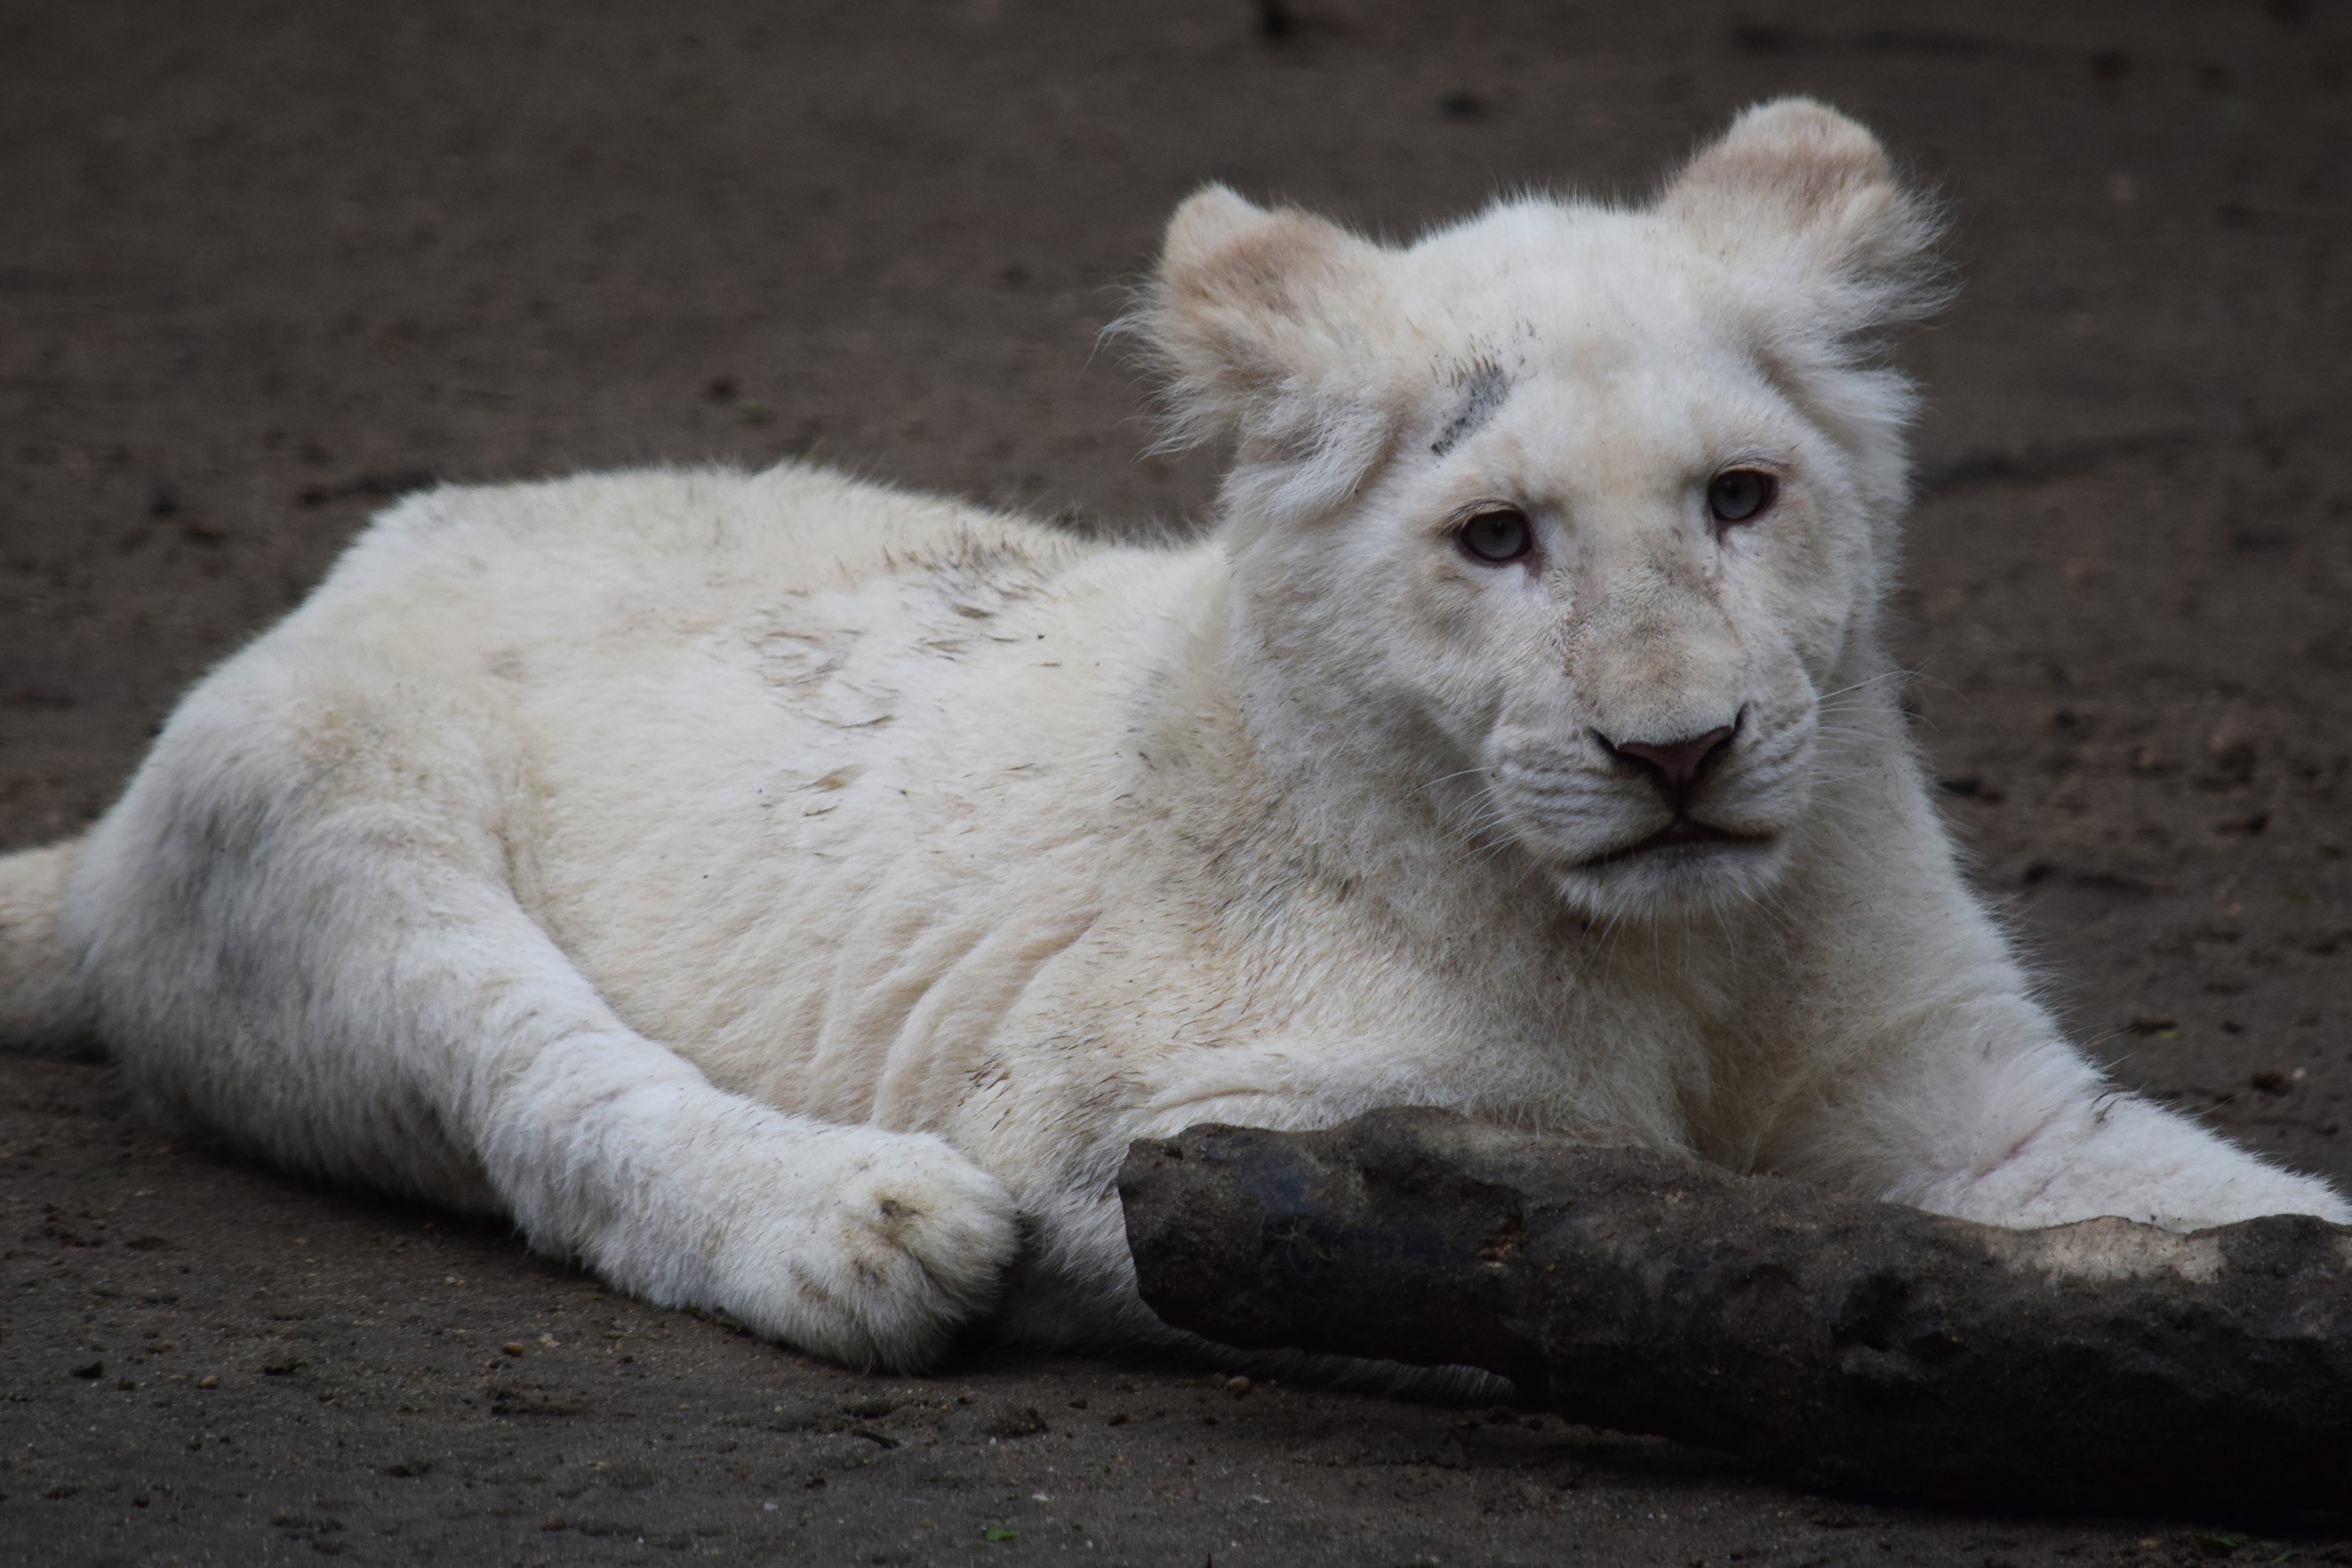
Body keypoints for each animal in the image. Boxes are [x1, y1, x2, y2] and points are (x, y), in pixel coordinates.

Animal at [2, 99, 2340, 1372]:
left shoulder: (1974, 1101)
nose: (1678, 753)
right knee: (541, 1089)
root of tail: (364, 556)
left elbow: (2233, 1202)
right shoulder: (1159, 1133)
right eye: (1495, 539)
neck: (1690, 944)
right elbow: (1597, 1196)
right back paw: (862, 1233)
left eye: (1739, 499)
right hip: (327, 830)